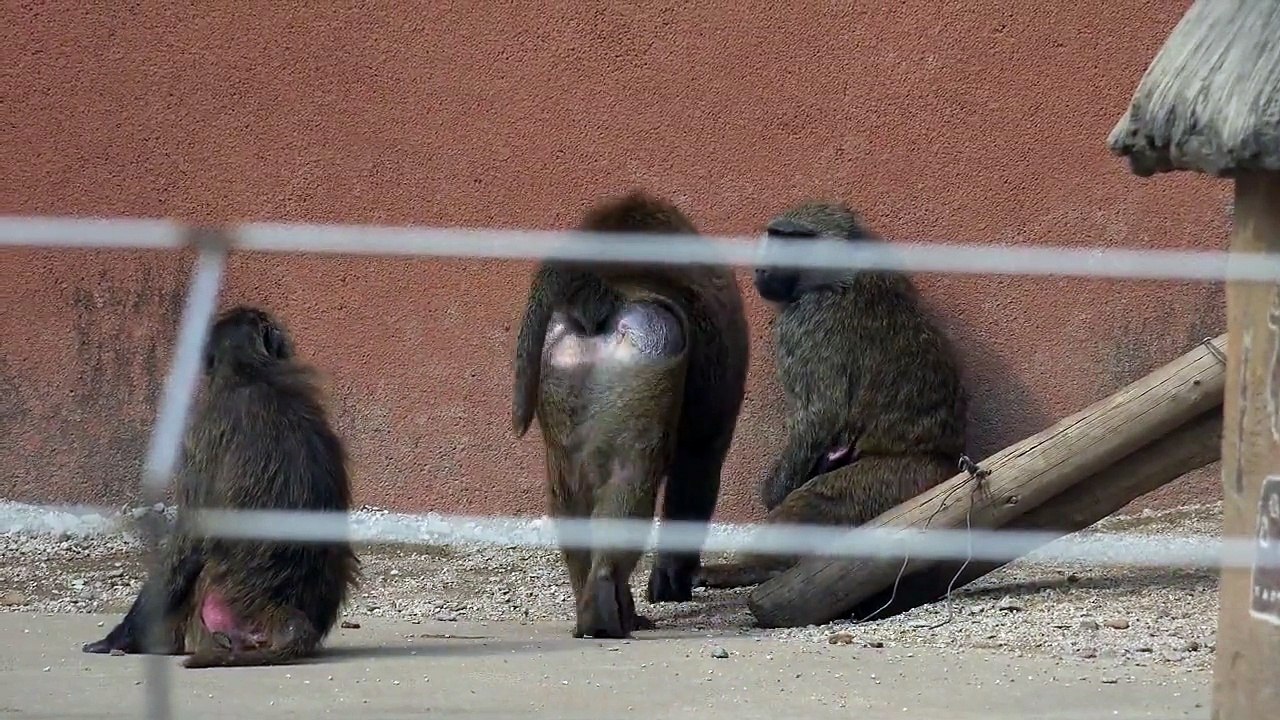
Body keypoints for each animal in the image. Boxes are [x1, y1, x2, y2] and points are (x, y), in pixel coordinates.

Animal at [512, 189, 750, 637]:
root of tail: (605, 287)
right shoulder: (707, 434)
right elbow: (695, 476)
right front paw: (673, 582)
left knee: (569, 491)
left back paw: (593, 608)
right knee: (632, 477)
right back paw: (608, 611)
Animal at [697, 201, 968, 589]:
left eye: (795, 239)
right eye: (775, 236)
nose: (762, 268)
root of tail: (947, 469)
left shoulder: (804, 322)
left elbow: (822, 414)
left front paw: (773, 493)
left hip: (894, 484)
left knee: (812, 501)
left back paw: (753, 569)